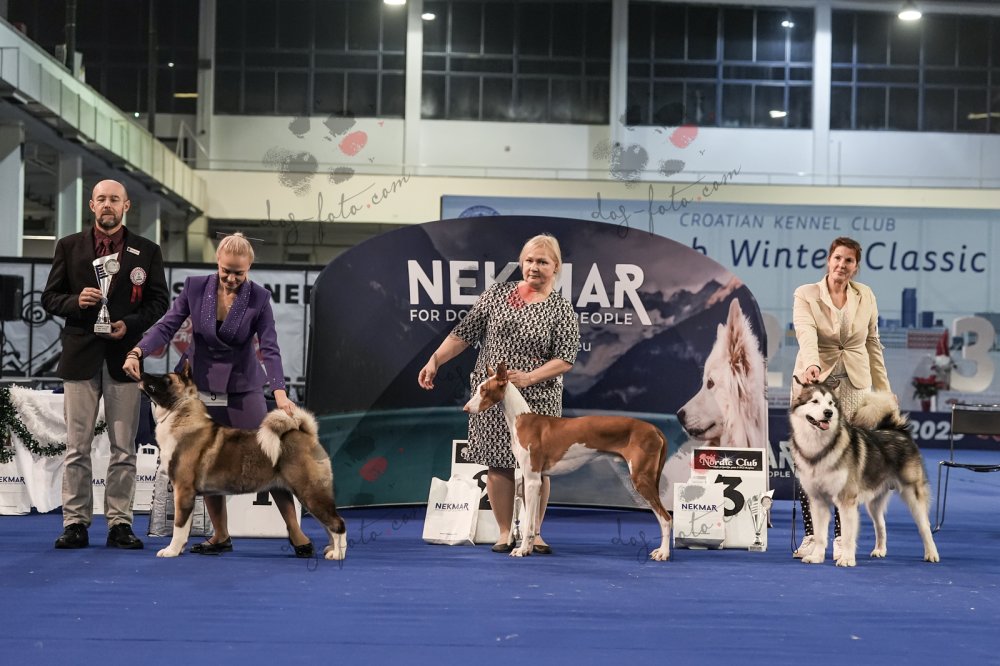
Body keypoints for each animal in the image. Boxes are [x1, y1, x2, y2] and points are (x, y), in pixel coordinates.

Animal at [139, 362, 347, 560]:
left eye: (166, 379)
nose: (142, 373)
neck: (181, 413)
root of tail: (307, 434)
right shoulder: (187, 493)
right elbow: (185, 527)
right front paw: (180, 548)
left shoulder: (183, 490)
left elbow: (179, 525)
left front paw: (171, 551)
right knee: (329, 525)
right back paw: (330, 549)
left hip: (310, 492)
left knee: (337, 523)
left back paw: (338, 554)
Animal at [464, 362, 671, 560]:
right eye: (479, 388)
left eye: (484, 390)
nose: (465, 408)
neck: (521, 419)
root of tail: (654, 428)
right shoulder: (536, 480)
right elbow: (532, 523)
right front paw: (528, 549)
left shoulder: (532, 480)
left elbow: (528, 523)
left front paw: (521, 550)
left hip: (641, 478)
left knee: (666, 518)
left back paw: (663, 553)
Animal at [789, 377, 940, 566]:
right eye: (815, 401)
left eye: (831, 403)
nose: (828, 413)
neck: (820, 448)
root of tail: (897, 430)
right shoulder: (817, 501)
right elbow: (820, 536)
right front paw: (816, 556)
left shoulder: (846, 500)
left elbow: (847, 535)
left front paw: (847, 559)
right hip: (874, 501)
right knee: (880, 524)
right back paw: (880, 550)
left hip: (913, 493)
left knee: (925, 526)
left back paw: (931, 553)